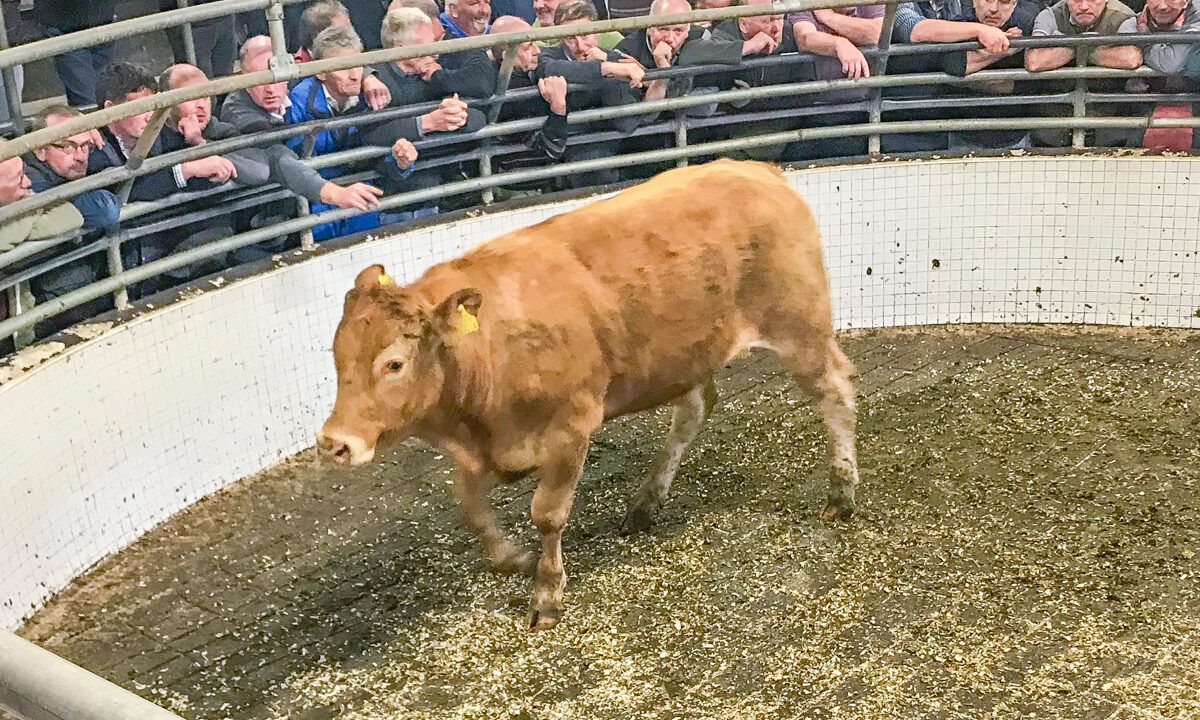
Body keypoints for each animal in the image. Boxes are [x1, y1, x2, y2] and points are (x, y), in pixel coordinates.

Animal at [317, 159, 859, 630]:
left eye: (393, 363)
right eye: (336, 358)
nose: (334, 443)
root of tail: (756, 170)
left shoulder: (569, 427)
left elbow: (547, 513)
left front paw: (547, 593)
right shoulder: (482, 449)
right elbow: (469, 507)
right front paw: (512, 557)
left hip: (799, 328)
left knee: (836, 392)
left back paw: (841, 493)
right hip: (687, 356)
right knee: (695, 409)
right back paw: (646, 502)